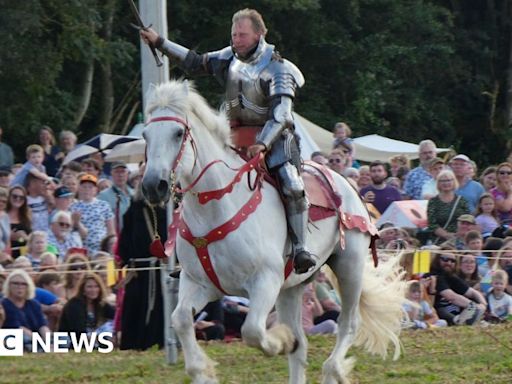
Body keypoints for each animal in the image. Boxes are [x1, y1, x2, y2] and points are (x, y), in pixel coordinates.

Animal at [142, 80, 406, 384]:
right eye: (145, 134)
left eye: (178, 133)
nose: (153, 186)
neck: (216, 207)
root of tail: (347, 185)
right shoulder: (199, 283)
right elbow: (181, 319)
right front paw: (203, 371)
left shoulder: (264, 281)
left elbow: (253, 331)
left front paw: (281, 340)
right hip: (290, 288)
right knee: (301, 346)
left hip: (349, 265)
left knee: (348, 324)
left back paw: (334, 369)